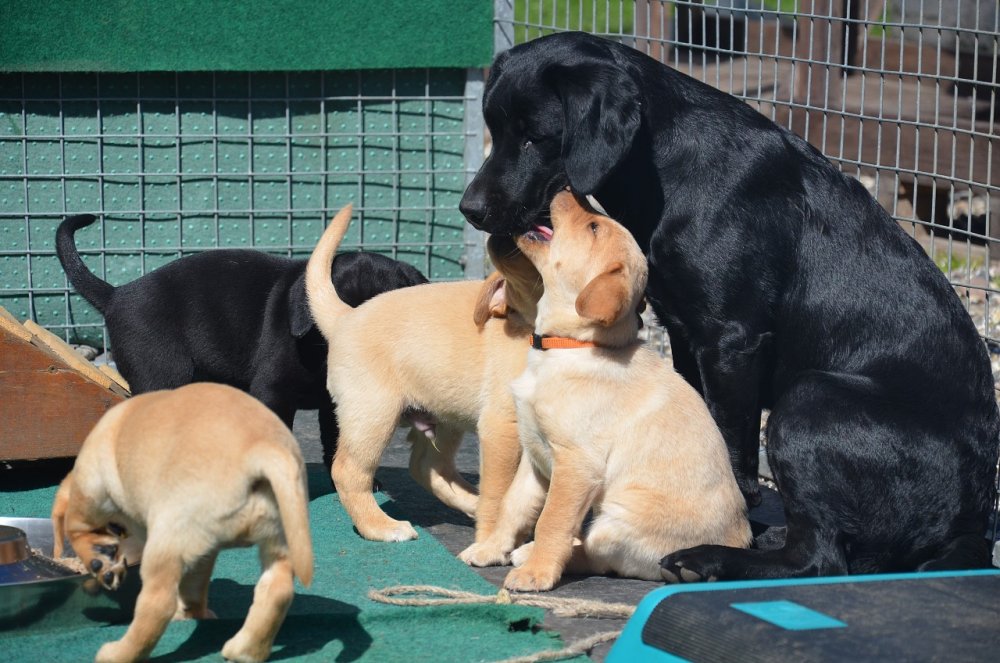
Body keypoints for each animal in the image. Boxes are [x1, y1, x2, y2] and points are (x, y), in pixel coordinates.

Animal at [51, 382, 313, 663]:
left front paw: (97, 560)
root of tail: (262, 447)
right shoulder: (203, 553)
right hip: (281, 533)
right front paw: (192, 613)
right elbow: (194, 586)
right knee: (277, 590)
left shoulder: (91, 492)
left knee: (157, 604)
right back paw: (244, 650)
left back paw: (118, 653)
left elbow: (76, 527)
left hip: (168, 537)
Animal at [304, 204, 542, 543]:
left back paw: (471, 504)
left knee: (428, 467)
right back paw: (381, 526)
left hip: (444, 414)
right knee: (349, 471)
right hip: (373, 414)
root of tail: (345, 317)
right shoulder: (502, 425)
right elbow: (502, 490)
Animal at [460, 191, 750, 591]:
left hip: (617, 520)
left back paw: (535, 556)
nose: (567, 189)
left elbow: (552, 521)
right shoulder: (535, 452)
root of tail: (738, 544)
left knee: (599, 555)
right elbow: (513, 505)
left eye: (594, 227)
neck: (568, 345)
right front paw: (491, 548)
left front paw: (537, 573)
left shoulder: (576, 465)